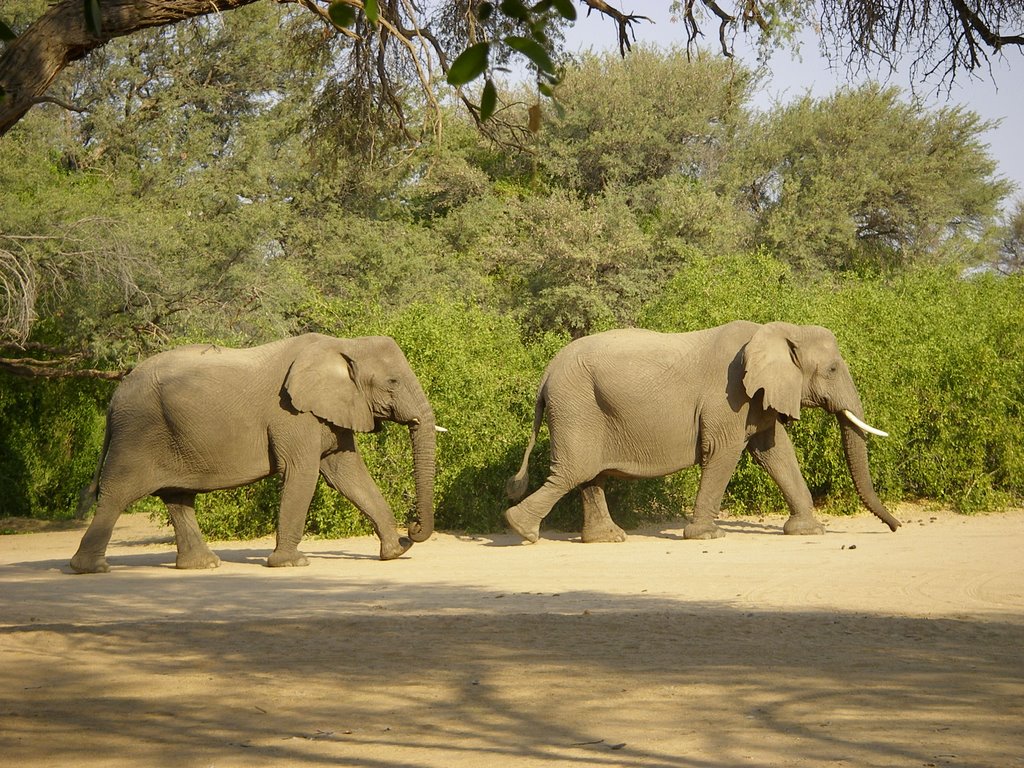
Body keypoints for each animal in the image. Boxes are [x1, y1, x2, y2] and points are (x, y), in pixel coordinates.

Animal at [70, 333, 438, 573]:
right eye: (392, 382)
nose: (411, 530)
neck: (344, 344)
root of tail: (115, 396)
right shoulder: (292, 414)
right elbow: (303, 473)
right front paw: (291, 563)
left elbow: (348, 474)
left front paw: (393, 553)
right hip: (138, 431)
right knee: (119, 493)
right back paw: (91, 568)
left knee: (178, 497)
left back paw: (203, 565)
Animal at [501, 321, 897, 544]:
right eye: (832, 369)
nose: (896, 527)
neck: (780, 331)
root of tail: (546, 373)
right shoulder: (729, 396)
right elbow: (724, 451)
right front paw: (707, 535)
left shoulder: (757, 398)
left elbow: (775, 452)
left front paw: (808, 532)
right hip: (576, 406)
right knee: (575, 470)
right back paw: (521, 530)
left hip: (584, 408)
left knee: (588, 475)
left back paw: (608, 540)